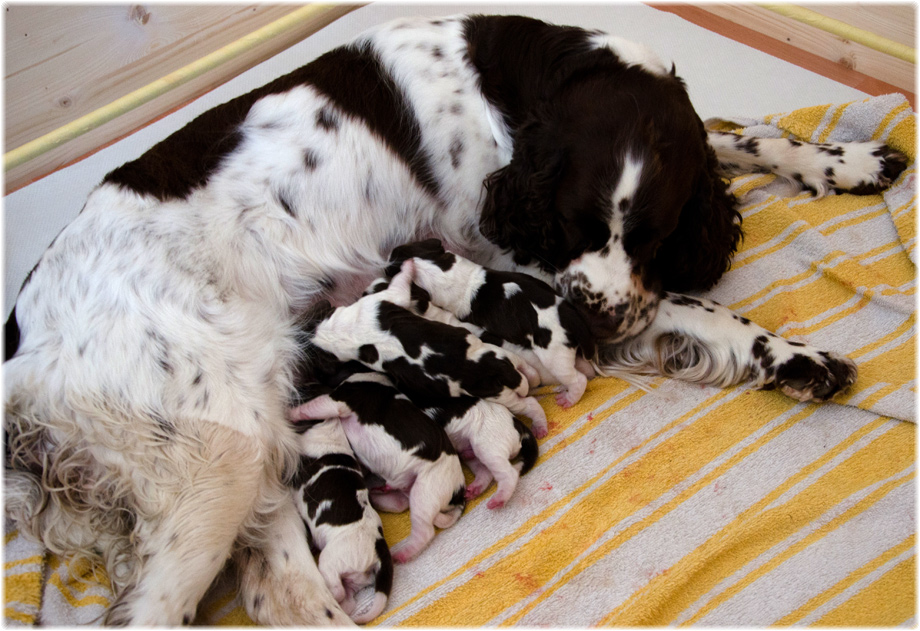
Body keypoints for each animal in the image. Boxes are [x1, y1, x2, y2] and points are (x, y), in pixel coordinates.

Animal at [290, 372, 468, 564]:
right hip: (408, 495)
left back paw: (401, 555)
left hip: (426, 491)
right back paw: (375, 492)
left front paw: (287, 415)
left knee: (425, 532)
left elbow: (309, 407)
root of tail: (459, 491)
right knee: (403, 505)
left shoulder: (339, 401)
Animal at [292, 418, 392, 624]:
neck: (326, 427)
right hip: (355, 579)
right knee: (348, 601)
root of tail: (379, 548)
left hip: (331, 559)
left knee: (337, 590)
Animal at [302, 260, 548, 436]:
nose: (369, 284)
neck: (340, 331)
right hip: (503, 366)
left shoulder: (386, 299)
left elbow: (400, 284)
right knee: (527, 385)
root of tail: (496, 370)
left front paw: (407, 265)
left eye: (366, 292)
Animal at [388, 238, 596, 410]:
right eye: (398, 251)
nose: (388, 261)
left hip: (554, 356)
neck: (443, 271)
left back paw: (569, 398)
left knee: (578, 379)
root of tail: (571, 316)